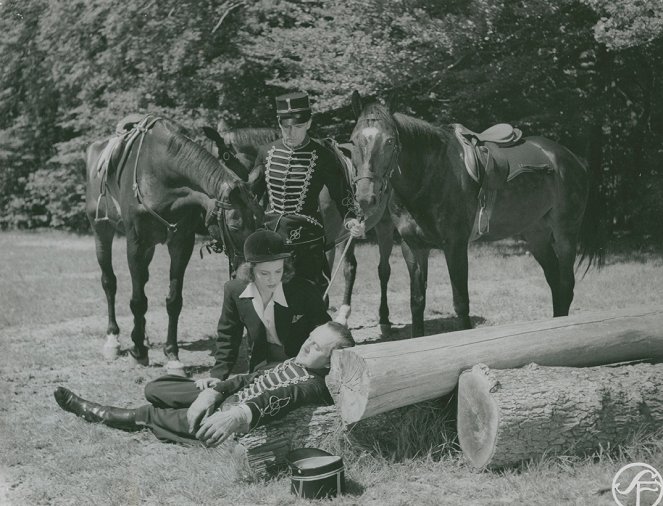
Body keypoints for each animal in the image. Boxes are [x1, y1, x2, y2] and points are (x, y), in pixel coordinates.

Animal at [86, 116, 264, 374]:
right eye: (235, 226)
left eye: (260, 221)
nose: (249, 274)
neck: (160, 173)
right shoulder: (135, 243)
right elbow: (137, 300)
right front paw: (138, 352)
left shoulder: (181, 242)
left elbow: (173, 300)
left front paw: (172, 355)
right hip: (102, 230)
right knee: (109, 282)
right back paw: (113, 339)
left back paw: (143, 336)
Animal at [350, 92, 604, 336]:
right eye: (353, 141)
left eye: (390, 141)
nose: (365, 197)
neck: (429, 176)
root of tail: (572, 158)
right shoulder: (413, 247)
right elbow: (417, 303)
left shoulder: (455, 246)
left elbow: (461, 304)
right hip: (536, 234)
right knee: (555, 282)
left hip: (565, 233)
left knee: (566, 284)